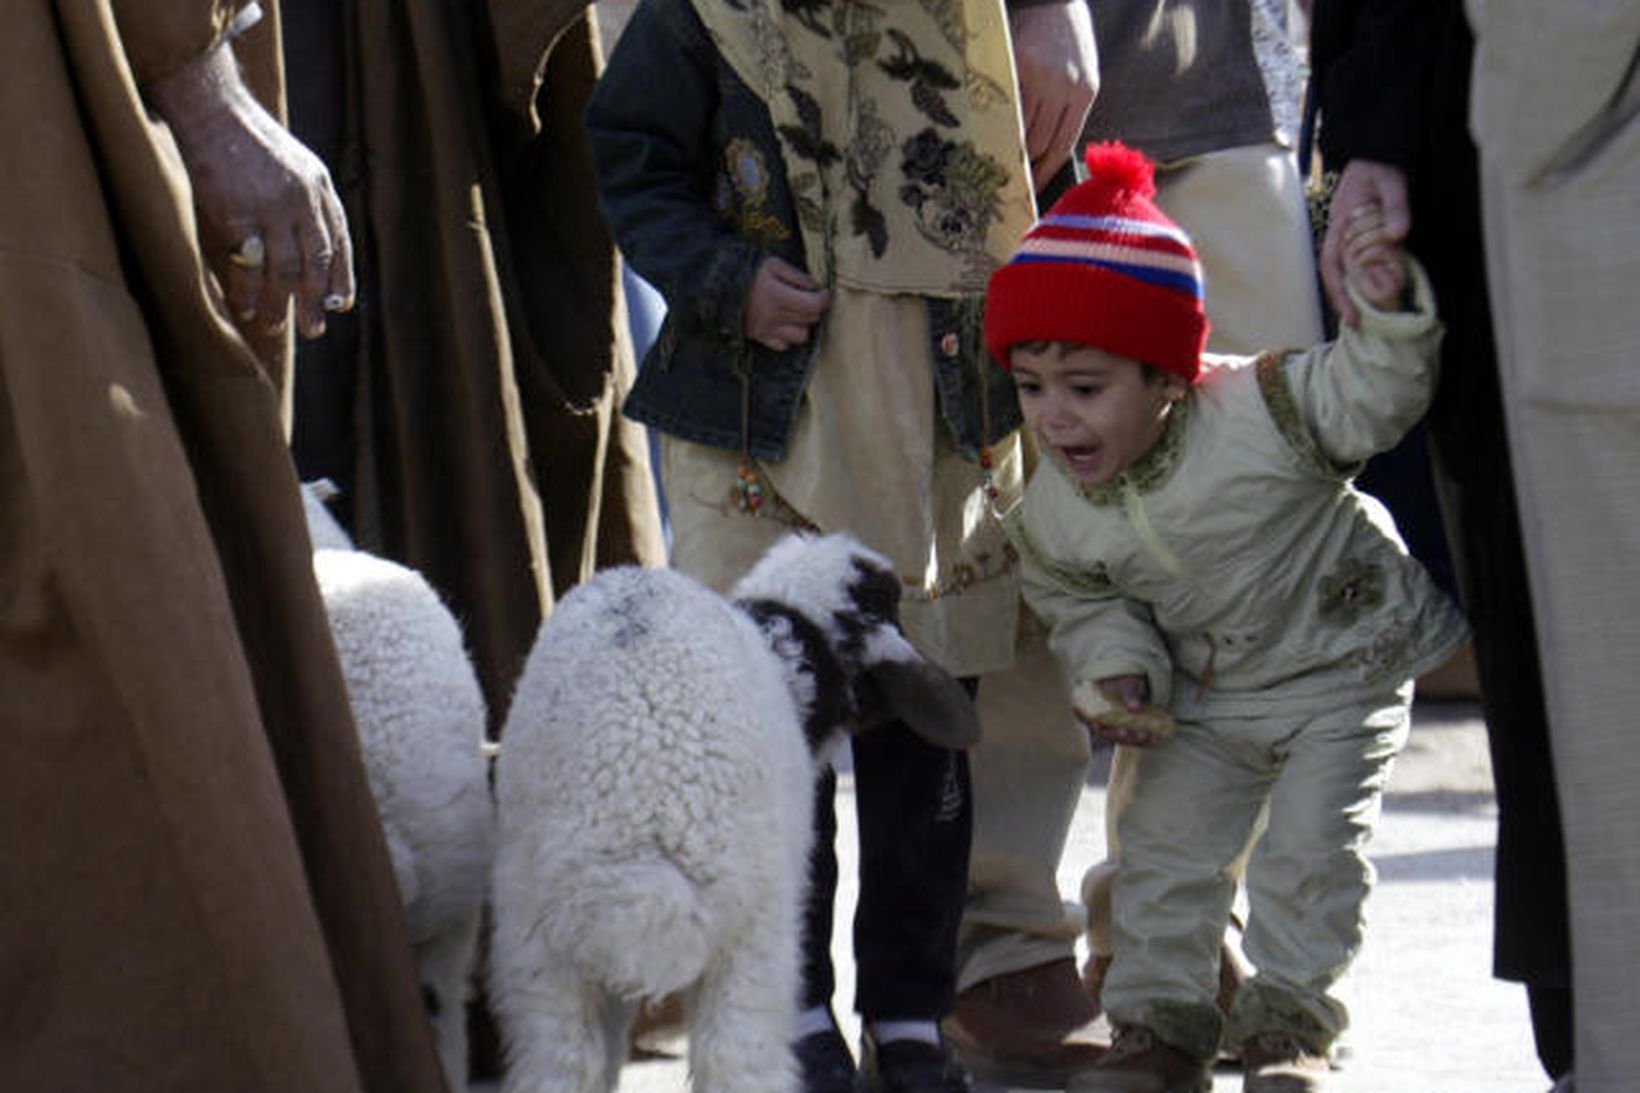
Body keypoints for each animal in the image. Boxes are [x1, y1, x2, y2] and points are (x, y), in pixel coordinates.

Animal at [482, 528, 970, 1089]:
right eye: (888, 601)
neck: (792, 653)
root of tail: (637, 842)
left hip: (539, 952)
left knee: (560, 1064)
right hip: (752, 936)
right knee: (738, 1059)